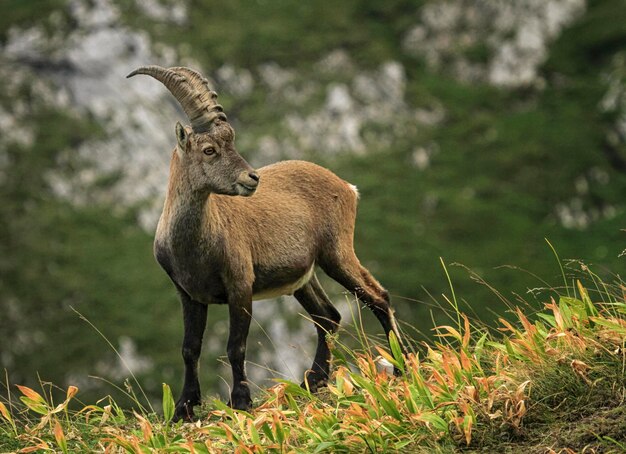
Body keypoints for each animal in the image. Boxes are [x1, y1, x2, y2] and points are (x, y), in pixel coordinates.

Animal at [127, 65, 404, 420]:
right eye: (209, 149)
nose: (252, 178)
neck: (194, 245)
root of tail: (346, 186)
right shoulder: (188, 294)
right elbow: (190, 348)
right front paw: (184, 407)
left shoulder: (240, 285)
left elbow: (236, 346)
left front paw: (241, 402)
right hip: (304, 277)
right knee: (328, 316)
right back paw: (313, 382)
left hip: (336, 253)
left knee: (377, 297)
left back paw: (401, 368)